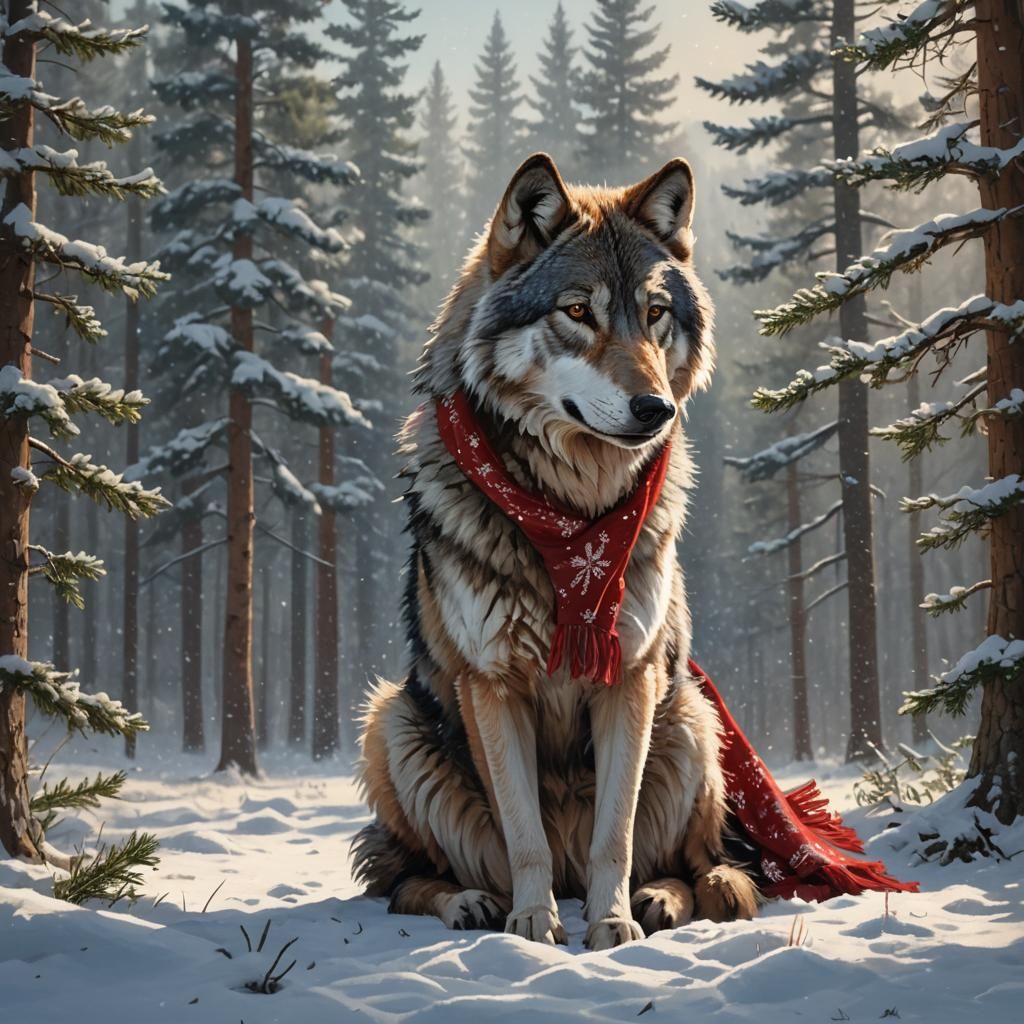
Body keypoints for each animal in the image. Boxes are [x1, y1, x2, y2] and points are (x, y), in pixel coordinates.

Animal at [351, 153, 759, 951]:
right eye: (577, 312)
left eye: (654, 313)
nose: (655, 409)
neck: (572, 518)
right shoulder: (491, 683)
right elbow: (524, 836)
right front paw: (534, 925)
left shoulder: (629, 676)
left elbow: (616, 837)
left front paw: (611, 924)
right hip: (391, 720)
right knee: (404, 879)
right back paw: (471, 902)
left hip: (693, 717)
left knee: (697, 865)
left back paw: (657, 901)